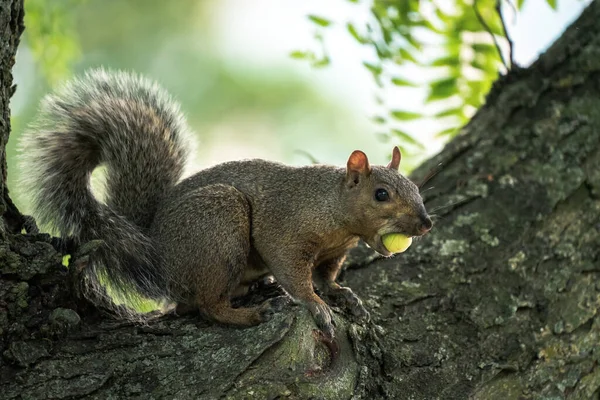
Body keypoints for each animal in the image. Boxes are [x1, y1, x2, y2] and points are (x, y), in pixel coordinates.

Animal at [18, 69, 432, 338]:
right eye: (381, 194)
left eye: (415, 188)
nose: (425, 223)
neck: (333, 210)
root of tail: (156, 248)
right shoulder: (285, 229)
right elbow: (294, 275)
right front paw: (316, 305)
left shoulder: (335, 252)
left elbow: (326, 276)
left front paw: (342, 294)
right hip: (219, 229)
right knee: (206, 305)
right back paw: (248, 314)